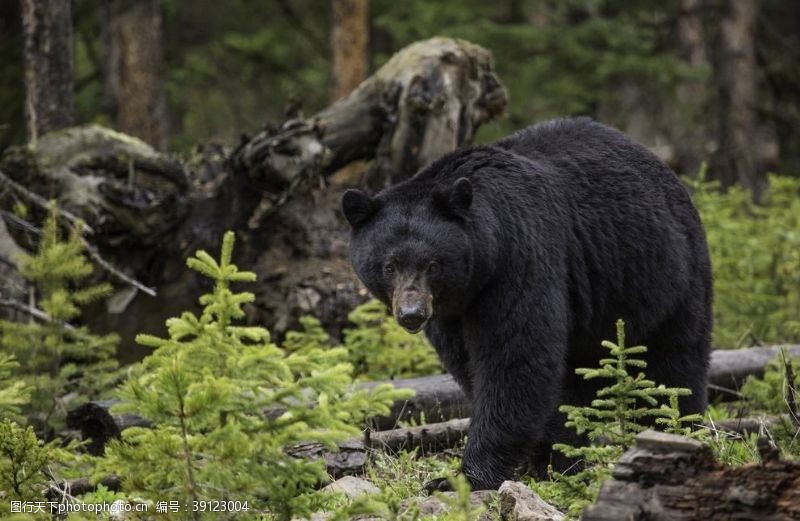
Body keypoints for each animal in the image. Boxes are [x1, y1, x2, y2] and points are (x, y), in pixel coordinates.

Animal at [340, 116, 708, 490]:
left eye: (432, 264)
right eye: (389, 265)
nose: (412, 314)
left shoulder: (518, 259)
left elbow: (514, 359)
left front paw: (465, 476)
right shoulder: (453, 311)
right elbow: (471, 364)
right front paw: (548, 458)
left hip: (668, 276)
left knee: (674, 363)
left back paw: (673, 429)